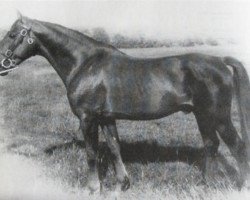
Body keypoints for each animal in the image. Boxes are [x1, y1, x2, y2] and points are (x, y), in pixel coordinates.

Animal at [0, 15, 249, 192]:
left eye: (12, 34)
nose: (2, 66)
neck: (86, 63)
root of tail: (220, 61)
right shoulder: (107, 118)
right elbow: (114, 147)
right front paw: (122, 184)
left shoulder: (87, 118)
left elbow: (91, 153)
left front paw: (93, 188)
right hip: (202, 115)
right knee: (211, 144)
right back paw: (206, 184)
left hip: (218, 116)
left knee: (236, 146)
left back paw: (240, 185)